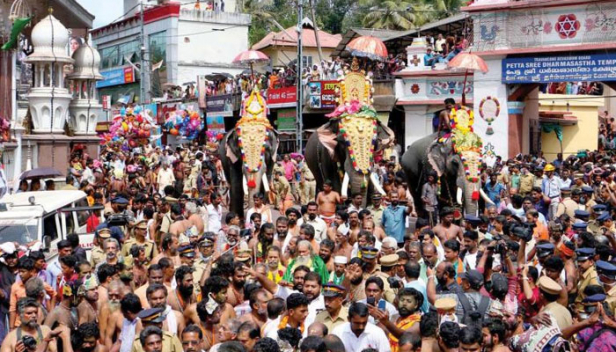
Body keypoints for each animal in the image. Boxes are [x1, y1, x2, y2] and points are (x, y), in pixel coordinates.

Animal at [219, 88, 280, 217]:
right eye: (240, 150)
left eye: (266, 149)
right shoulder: (231, 156)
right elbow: (237, 183)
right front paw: (237, 219)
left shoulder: (273, 156)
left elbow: (266, 178)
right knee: (231, 184)